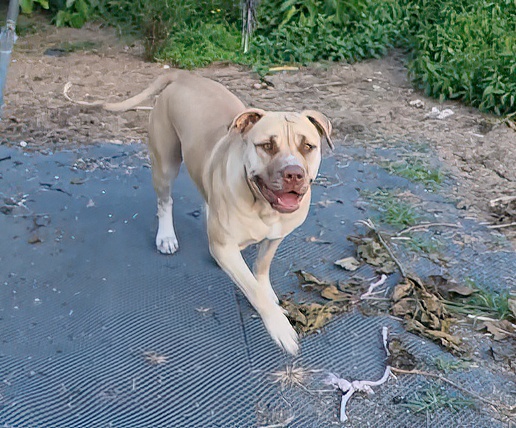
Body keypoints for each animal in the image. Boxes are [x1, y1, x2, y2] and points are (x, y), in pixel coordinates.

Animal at [66, 71, 333, 354]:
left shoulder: (276, 236)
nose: (293, 173)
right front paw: (279, 327)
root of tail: (184, 76)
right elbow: (251, 288)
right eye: (267, 146)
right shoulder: (225, 247)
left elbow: (261, 266)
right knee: (165, 202)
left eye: (308, 146)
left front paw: (266, 289)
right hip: (165, 164)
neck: (262, 206)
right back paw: (166, 237)